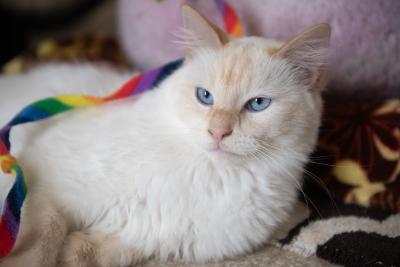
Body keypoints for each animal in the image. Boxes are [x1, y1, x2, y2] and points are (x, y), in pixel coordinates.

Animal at [0, 5, 330, 267]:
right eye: (205, 97)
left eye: (258, 104)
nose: (218, 132)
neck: (212, 176)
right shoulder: (42, 185)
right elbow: (44, 241)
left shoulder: (149, 239)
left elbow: (91, 252)